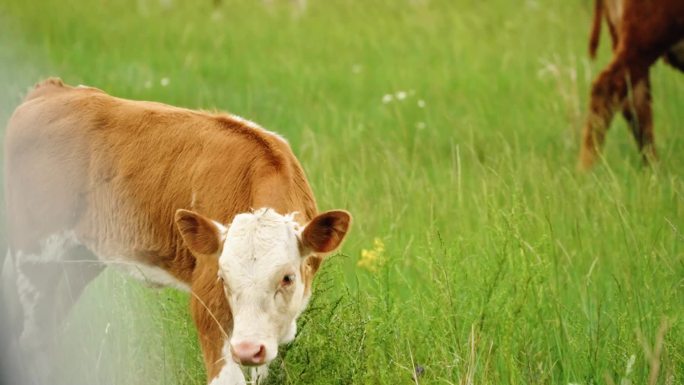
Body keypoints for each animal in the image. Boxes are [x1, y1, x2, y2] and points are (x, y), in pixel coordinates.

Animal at [1, 76, 352, 382]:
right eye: (222, 277)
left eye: (287, 277)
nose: (247, 349)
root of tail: (52, 90)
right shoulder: (207, 301)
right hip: (35, 255)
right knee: (32, 338)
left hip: (78, 260)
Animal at [576, 0, 684, 170]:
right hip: (645, 39)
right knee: (606, 88)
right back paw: (586, 170)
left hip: (625, 41)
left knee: (634, 103)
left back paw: (655, 171)